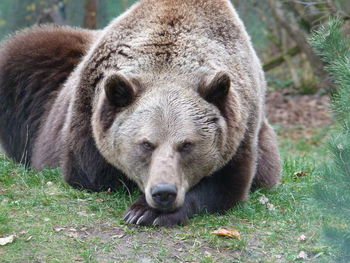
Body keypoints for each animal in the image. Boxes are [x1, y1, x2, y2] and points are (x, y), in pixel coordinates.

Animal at [0, 0, 280, 227]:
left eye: (186, 145)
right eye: (146, 144)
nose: (163, 192)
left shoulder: (241, 127)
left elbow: (226, 184)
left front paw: (145, 211)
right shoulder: (87, 114)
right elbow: (91, 174)